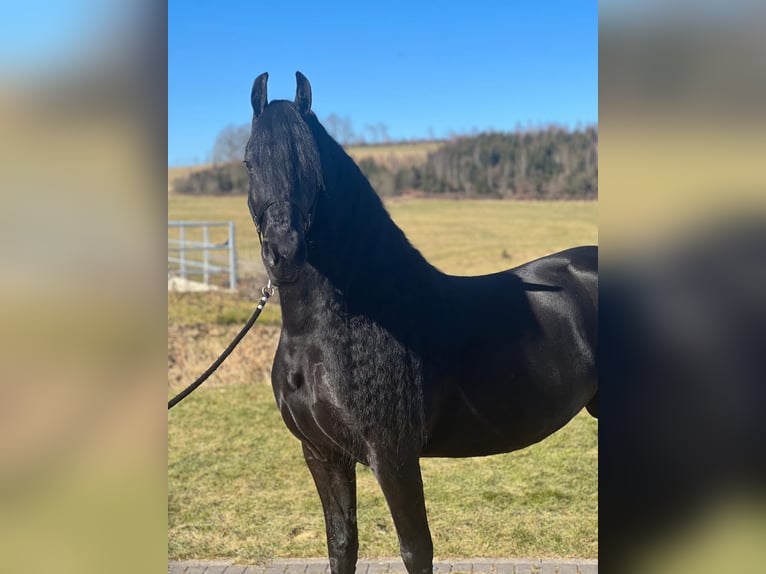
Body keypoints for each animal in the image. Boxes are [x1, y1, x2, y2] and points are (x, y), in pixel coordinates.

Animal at [243, 71, 598, 574]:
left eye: (311, 165)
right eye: (249, 162)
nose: (284, 254)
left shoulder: (393, 456)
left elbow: (415, 548)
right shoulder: (322, 455)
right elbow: (341, 545)